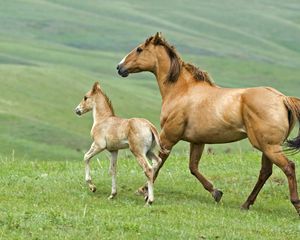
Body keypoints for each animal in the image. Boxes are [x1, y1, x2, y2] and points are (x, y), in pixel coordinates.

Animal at [116, 32, 300, 215]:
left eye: (139, 49)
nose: (119, 67)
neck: (181, 91)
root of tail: (282, 98)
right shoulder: (197, 141)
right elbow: (193, 167)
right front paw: (216, 192)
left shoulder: (168, 136)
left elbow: (158, 164)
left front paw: (144, 191)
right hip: (266, 146)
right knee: (265, 172)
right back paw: (246, 204)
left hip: (269, 146)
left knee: (288, 167)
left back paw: (296, 204)